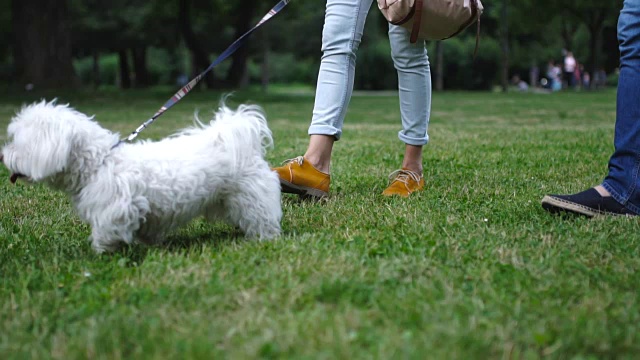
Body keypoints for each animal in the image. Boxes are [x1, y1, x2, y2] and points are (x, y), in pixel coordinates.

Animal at [0, 100, 280, 253]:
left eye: (17, 142)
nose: (3, 155)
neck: (100, 162)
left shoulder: (117, 207)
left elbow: (107, 228)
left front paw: (102, 250)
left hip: (251, 196)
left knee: (262, 217)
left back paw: (265, 238)